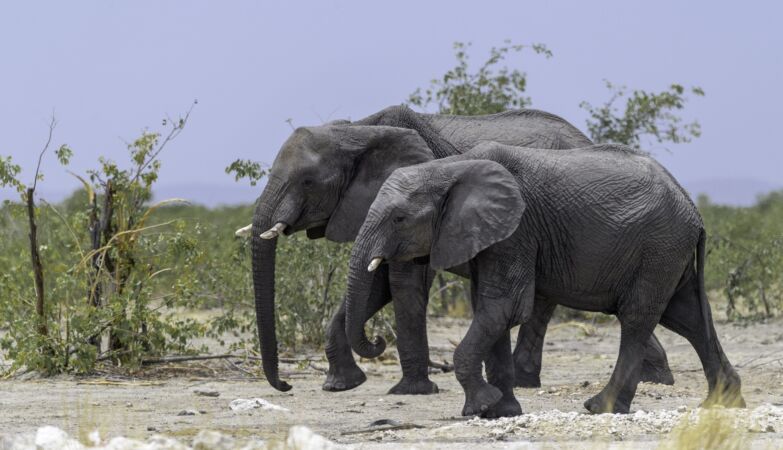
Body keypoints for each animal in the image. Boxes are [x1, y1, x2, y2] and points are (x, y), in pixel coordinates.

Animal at [241, 104, 673, 395]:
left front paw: (412, 391)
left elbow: (403, 282)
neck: (356, 131)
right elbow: (375, 284)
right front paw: (341, 385)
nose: (286, 387)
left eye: (307, 182)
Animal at [344, 141, 745, 416]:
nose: (378, 340)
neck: (448, 168)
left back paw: (600, 407)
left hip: (659, 247)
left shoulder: (517, 231)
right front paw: (500, 411)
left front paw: (480, 407)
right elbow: (490, 311)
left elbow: (504, 308)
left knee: (637, 319)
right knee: (688, 318)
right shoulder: (492, 238)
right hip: (668, 252)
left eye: (398, 219)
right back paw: (723, 404)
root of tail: (693, 209)